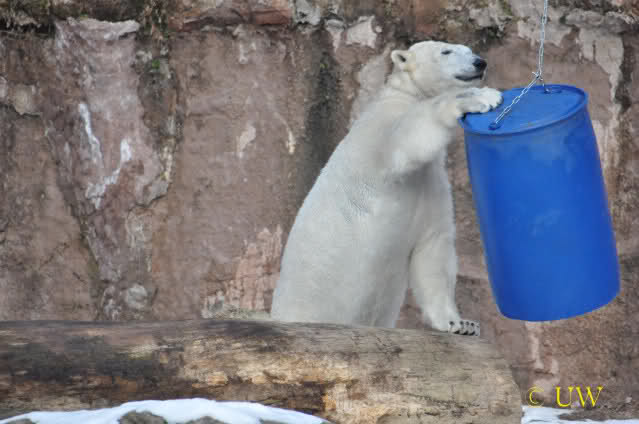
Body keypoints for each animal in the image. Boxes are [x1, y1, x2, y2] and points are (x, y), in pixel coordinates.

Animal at [270, 41, 503, 335]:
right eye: (446, 51)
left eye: (468, 49)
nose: (479, 62)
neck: (405, 95)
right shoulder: (380, 134)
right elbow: (406, 140)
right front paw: (481, 97)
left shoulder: (429, 183)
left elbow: (433, 247)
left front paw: (460, 324)